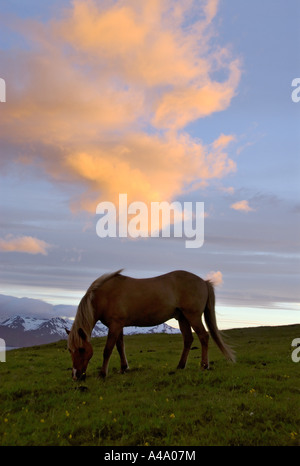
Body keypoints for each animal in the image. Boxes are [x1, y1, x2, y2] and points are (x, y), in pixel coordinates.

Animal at [65, 270, 234, 378]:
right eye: (69, 350)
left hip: (193, 316)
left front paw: (102, 373)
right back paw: (180, 366)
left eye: (81, 349)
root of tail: (204, 282)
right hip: (183, 318)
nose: (75, 375)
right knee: (188, 340)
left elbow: (108, 349)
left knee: (203, 337)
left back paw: (204, 366)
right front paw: (123, 368)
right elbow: (120, 347)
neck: (104, 295)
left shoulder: (115, 325)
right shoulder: (118, 325)